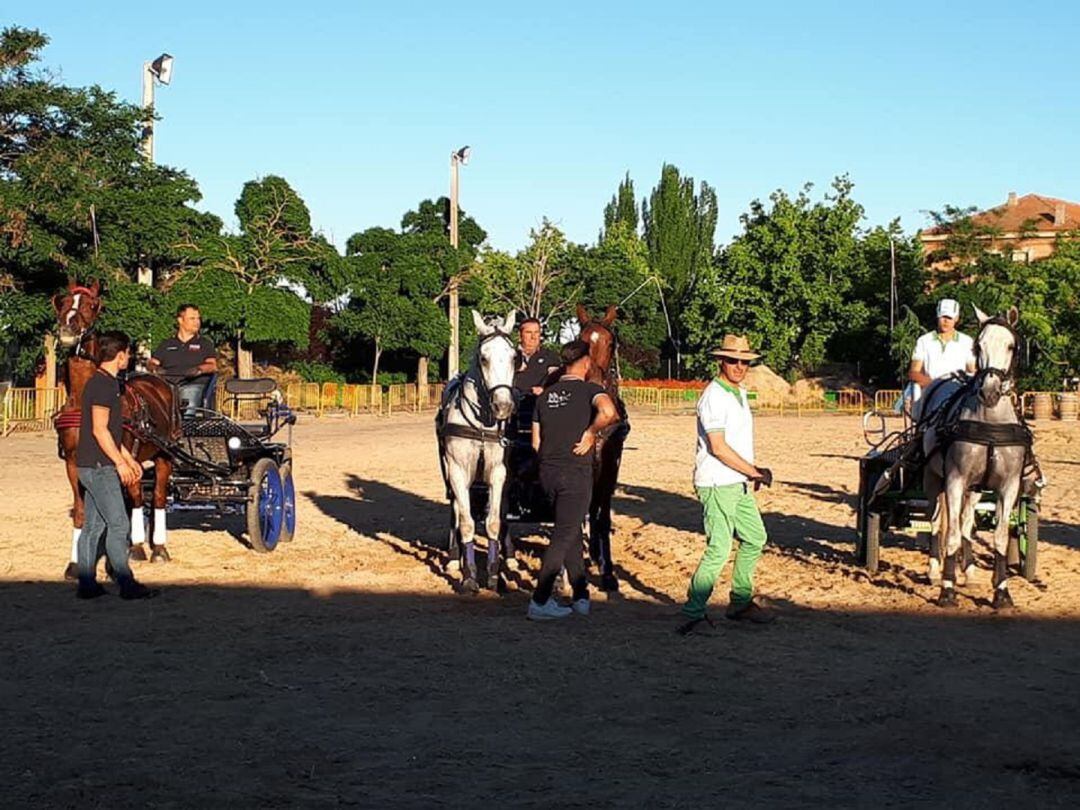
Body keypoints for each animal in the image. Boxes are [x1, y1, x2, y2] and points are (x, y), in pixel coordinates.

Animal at [434, 306, 518, 591]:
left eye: (514, 358)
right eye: (483, 358)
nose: (503, 406)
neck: (481, 426)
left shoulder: (499, 473)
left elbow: (493, 522)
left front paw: (493, 573)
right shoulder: (458, 471)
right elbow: (467, 522)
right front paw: (469, 575)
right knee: (457, 511)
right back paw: (454, 558)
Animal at [920, 306, 1028, 609]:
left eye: (1011, 345)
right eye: (978, 346)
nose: (989, 392)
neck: (990, 424)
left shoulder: (1009, 486)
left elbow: (999, 536)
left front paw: (1001, 590)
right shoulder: (955, 480)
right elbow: (951, 534)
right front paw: (947, 589)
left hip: (976, 488)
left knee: (967, 522)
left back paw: (967, 570)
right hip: (933, 478)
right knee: (937, 522)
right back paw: (934, 569)